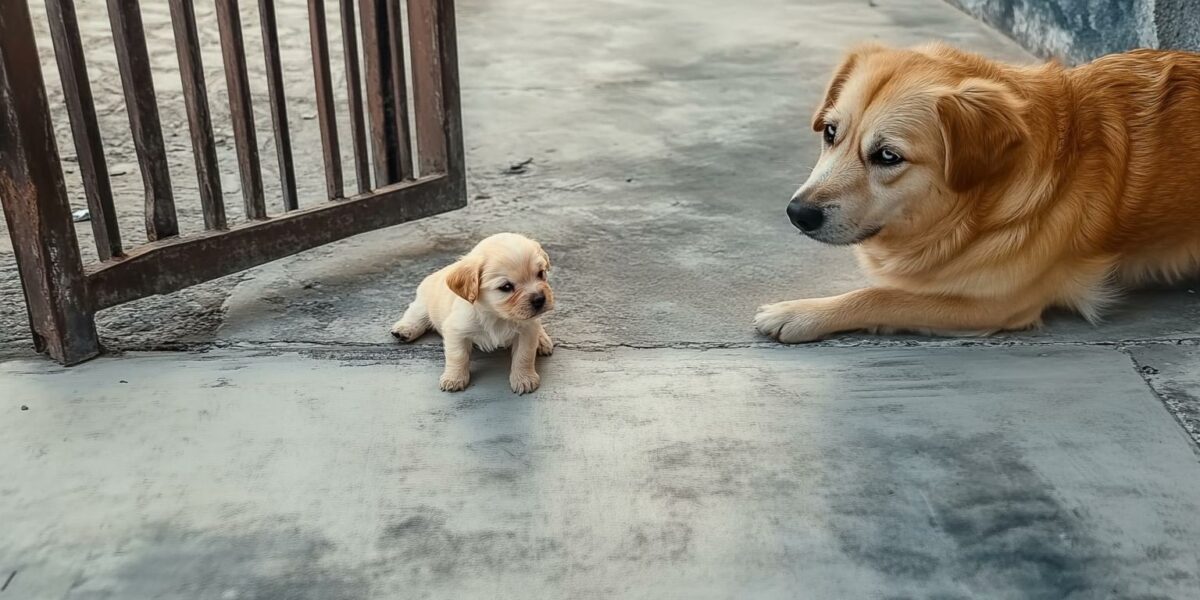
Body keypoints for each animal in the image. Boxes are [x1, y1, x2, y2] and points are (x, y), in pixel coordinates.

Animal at [391, 232, 554, 393]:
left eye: (541, 273)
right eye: (506, 287)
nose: (540, 299)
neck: (496, 315)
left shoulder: (526, 331)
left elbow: (524, 355)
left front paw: (524, 379)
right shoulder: (455, 330)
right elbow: (457, 355)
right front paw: (454, 378)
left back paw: (542, 341)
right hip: (424, 302)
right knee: (415, 314)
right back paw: (404, 330)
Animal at [753, 42, 1200, 343]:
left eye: (887, 156)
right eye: (830, 133)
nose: (798, 213)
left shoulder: (994, 304)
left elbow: (881, 295)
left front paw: (800, 312)